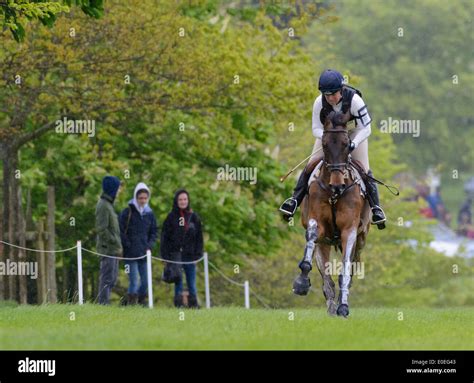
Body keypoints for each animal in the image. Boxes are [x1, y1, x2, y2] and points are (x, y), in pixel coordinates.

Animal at [292, 109, 370, 318]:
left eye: (346, 144)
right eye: (325, 145)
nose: (337, 185)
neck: (334, 193)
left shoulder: (349, 230)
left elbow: (345, 271)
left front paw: (344, 307)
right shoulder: (318, 226)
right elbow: (311, 238)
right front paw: (301, 283)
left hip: (361, 240)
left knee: (350, 267)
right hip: (325, 243)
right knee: (326, 277)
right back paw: (331, 306)